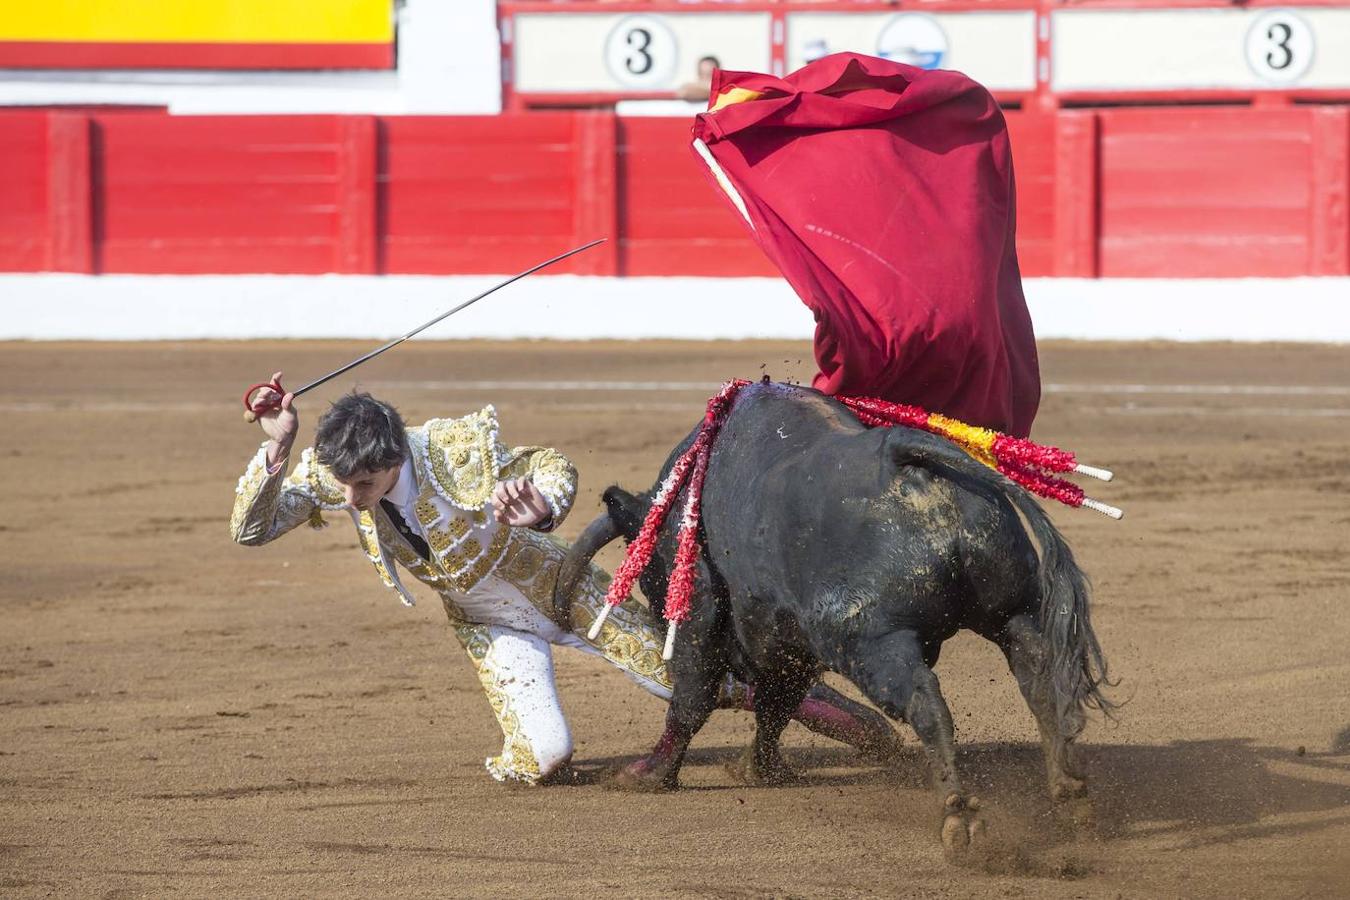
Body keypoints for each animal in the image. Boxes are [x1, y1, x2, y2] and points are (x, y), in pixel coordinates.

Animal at [553, 380, 1112, 852]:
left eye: (650, 577)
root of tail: (912, 464)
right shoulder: (789, 641)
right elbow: (777, 704)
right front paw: (758, 769)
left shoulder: (706, 618)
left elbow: (696, 698)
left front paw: (646, 776)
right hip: (1014, 614)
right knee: (1041, 688)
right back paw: (1071, 798)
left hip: (869, 642)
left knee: (926, 703)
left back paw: (959, 816)